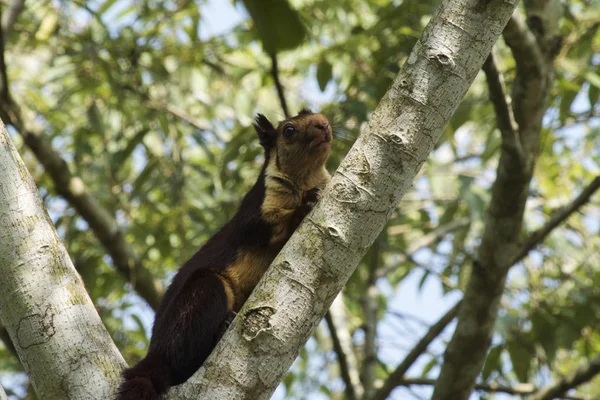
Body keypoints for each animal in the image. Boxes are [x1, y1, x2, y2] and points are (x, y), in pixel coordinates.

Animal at [116, 109, 332, 400]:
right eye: (289, 130)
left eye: (311, 111)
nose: (323, 123)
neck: (306, 177)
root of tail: (155, 354)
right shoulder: (254, 208)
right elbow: (257, 227)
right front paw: (305, 204)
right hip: (201, 297)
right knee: (181, 360)